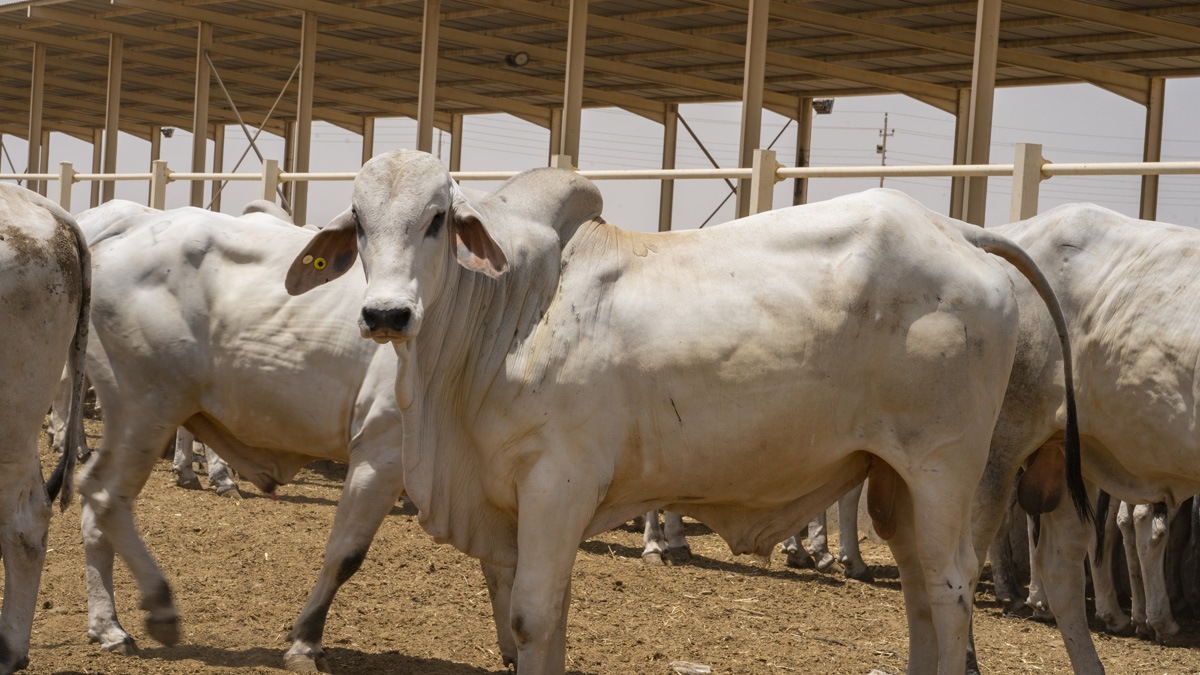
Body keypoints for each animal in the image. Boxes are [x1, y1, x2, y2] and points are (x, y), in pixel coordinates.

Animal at [73, 204, 406, 672]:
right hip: (146, 405)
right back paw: (158, 606)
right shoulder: (384, 448)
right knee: (104, 495)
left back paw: (108, 626)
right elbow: (346, 554)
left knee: (94, 507)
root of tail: (135, 223)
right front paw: (305, 642)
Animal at [285, 149, 1084, 675]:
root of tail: (958, 231)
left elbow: (531, 616)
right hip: (893, 483)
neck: (509, 313)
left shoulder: (557, 483)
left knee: (951, 593)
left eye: (437, 219)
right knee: (919, 591)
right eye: (359, 221)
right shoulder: (509, 504)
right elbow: (539, 623)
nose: (386, 314)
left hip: (944, 470)